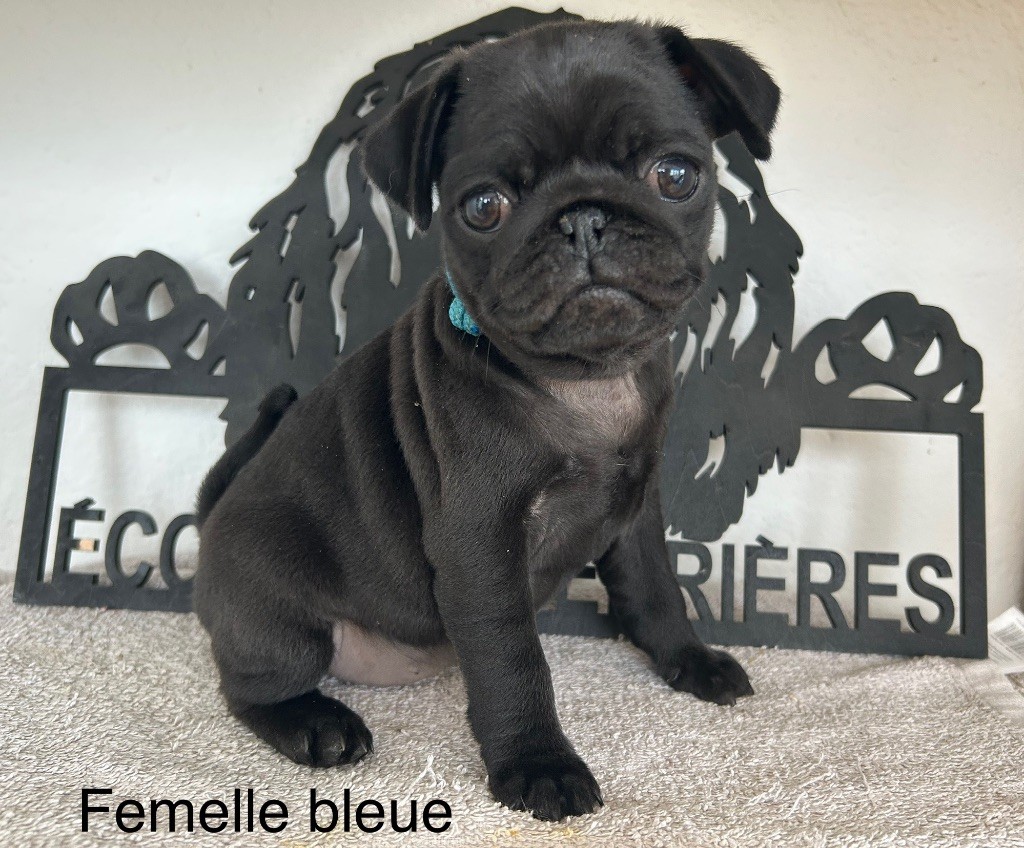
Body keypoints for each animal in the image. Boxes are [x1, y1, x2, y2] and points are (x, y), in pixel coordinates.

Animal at [193, 18, 779, 821]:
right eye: (483, 207)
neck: (585, 381)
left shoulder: (636, 511)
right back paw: (316, 723)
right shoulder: (481, 541)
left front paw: (689, 661)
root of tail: (211, 522)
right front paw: (538, 765)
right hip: (280, 617)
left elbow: (657, 589)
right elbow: (512, 660)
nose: (583, 217)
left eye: (675, 175)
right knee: (249, 686)